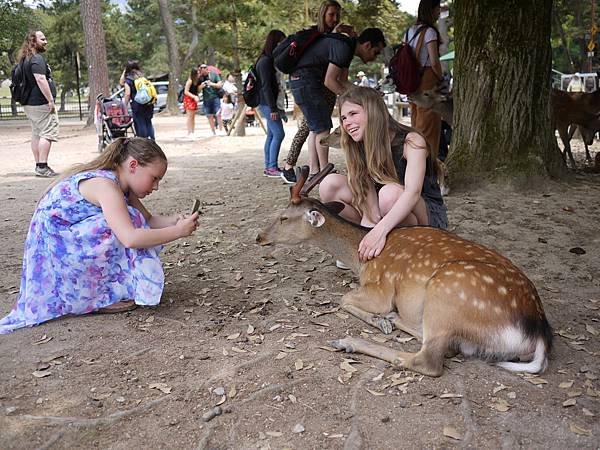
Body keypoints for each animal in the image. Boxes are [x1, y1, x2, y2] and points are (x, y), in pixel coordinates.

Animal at [258, 87, 552, 376]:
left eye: (283, 217)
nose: (259, 237)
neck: (360, 260)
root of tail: (538, 335)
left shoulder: (380, 289)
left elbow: (344, 298)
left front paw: (377, 320)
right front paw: (383, 320)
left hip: (445, 294)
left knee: (429, 359)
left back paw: (351, 340)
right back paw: (394, 319)